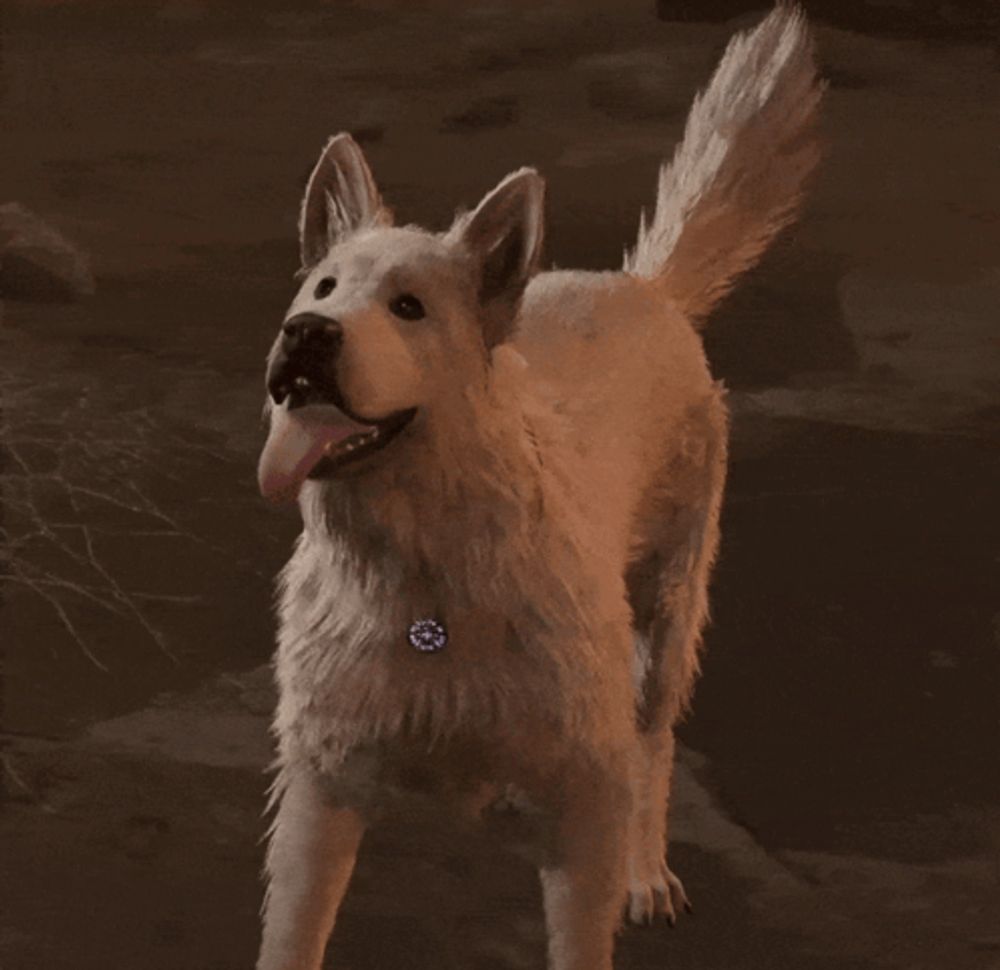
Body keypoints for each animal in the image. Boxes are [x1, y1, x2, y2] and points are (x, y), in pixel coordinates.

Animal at [256, 9, 820, 968]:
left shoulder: (583, 797)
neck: (423, 582)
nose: (307, 333)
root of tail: (645, 286)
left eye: (408, 307)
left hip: (666, 614)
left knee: (654, 745)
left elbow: (587, 904)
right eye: (324, 287)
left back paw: (648, 873)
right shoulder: (321, 792)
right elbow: (293, 936)